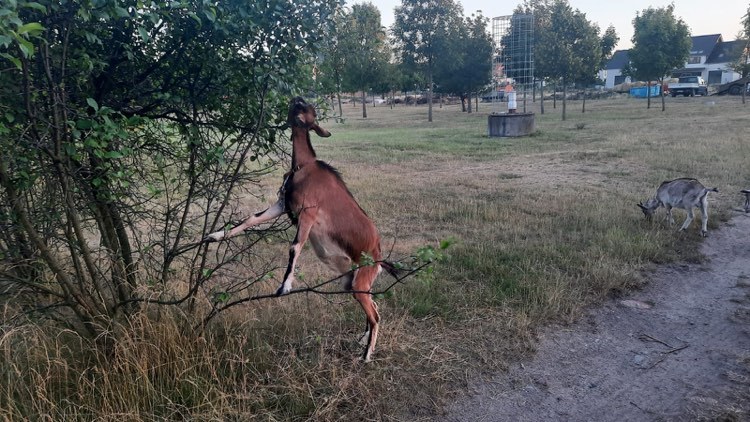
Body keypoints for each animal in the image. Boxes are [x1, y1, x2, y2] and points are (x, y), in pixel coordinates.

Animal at [206, 96, 394, 362]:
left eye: (308, 108)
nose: (297, 99)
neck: (304, 167)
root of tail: (378, 257)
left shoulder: (308, 213)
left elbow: (295, 246)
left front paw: (284, 287)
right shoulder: (283, 205)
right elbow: (250, 219)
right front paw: (214, 235)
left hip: (361, 281)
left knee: (375, 314)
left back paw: (366, 355)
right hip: (354, 284)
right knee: (373, 307)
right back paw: (362, 340)